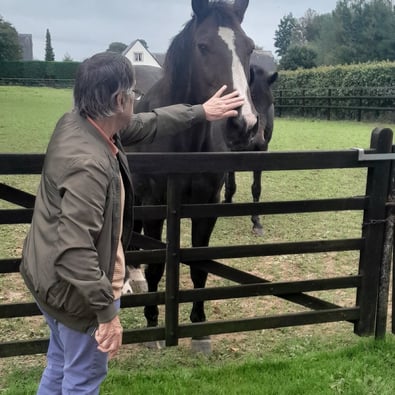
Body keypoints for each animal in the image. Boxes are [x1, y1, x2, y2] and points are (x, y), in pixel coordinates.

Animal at [125, 0, 258, 352]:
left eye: (249, 47)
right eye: (203, 46)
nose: (244, 124)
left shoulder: (206, 206)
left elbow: (200, 266)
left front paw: (200, 329)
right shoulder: (155, 204)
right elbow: (157, 265)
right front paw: (152, 323)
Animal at [226, 63, 278, 235]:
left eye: (270, 102)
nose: (258, 140)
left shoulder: (260, 153)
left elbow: (256, 188)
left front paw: (256, 222)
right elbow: (230, 183)